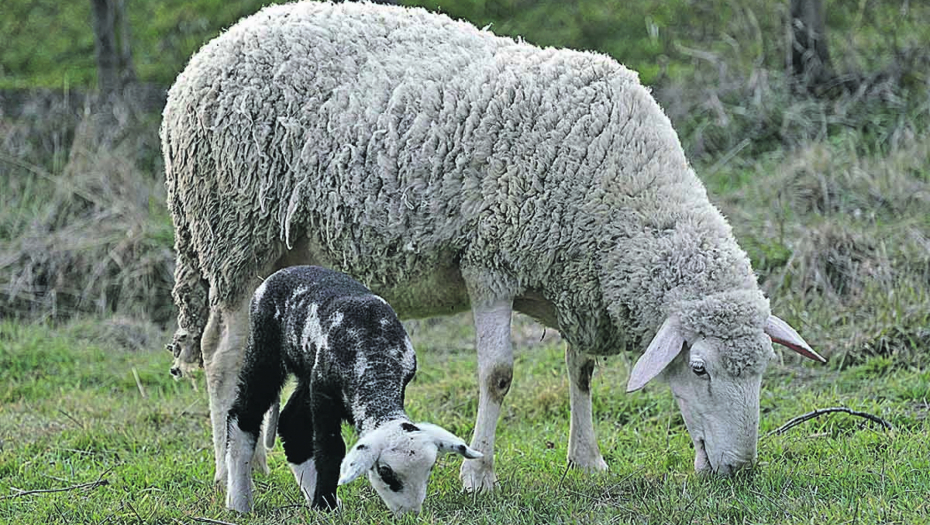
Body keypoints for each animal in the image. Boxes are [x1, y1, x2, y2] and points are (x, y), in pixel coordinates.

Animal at [224, 264, 478, 512]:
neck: (374, 360)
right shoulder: (323, 389)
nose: (411, 513)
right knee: (243, 417)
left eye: (430, 470)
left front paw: (323, 504)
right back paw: (239, 502)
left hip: (306, 370)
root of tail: (280, 273)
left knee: (292, 424)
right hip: (264, 349)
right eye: (385, 473)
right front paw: (323, 504)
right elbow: (331, 449)